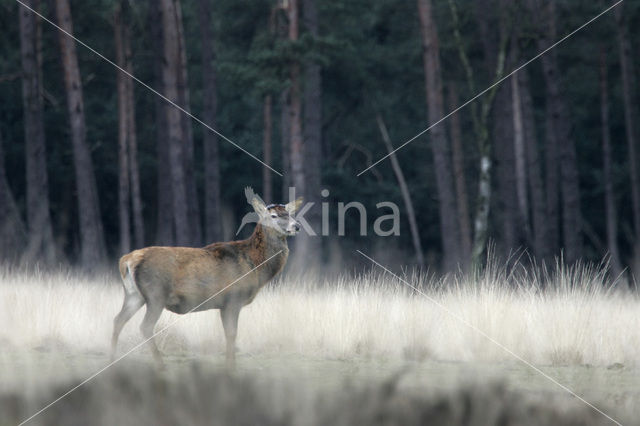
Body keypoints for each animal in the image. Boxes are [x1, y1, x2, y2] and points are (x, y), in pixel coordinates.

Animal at [110, 188, 302, 368]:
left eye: (290, 213)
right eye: (273, 215)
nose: (296, 226)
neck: (255, 265)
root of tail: (127, 260)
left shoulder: (224, 304)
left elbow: (229, 335)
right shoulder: (233, 299)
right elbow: (232, 334)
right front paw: (231, 366)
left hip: (134, 294)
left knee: (118, 320)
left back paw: (113, 359)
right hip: (156, 293)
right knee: (145, 326)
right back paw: (160, 364)